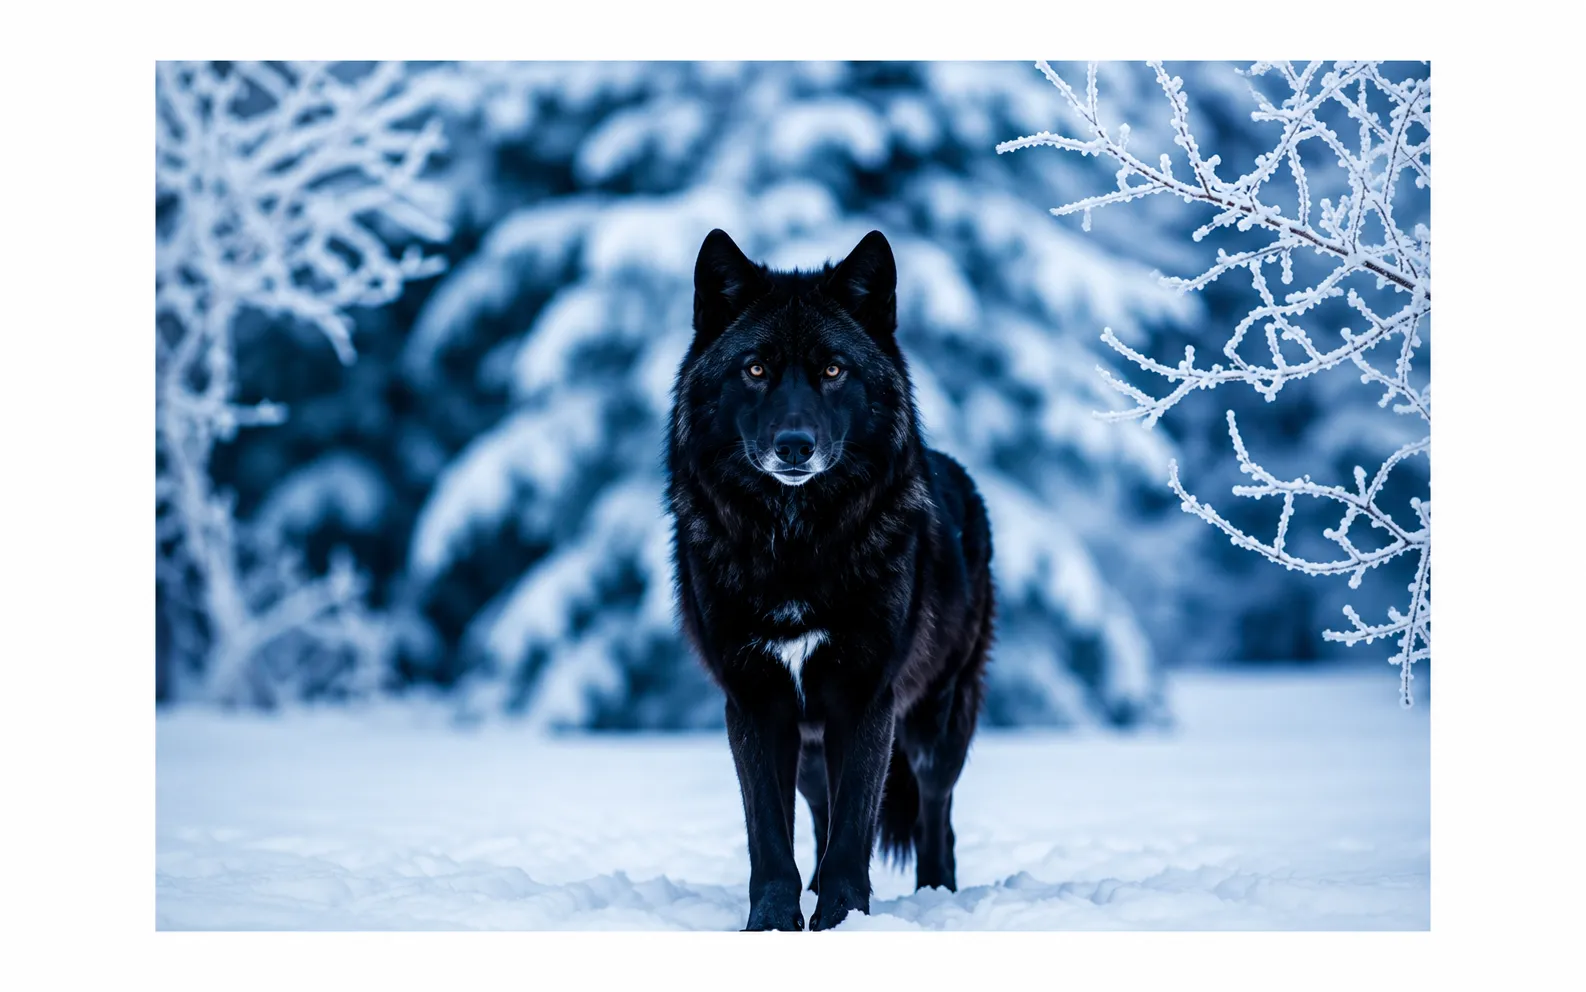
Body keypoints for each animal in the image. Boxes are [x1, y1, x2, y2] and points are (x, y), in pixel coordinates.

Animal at [666, 228, 995, 931]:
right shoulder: (755, 703)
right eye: (755, 370)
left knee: (935, 815)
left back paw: (937, 893)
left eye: (833, 370)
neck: (796, 545)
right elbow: (771, 834)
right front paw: (772, 923)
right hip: (814, 745)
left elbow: (853, 831)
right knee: (818, 812)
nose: (794, 445)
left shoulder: (867, 700)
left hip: (936, 725)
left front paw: (842, 922)